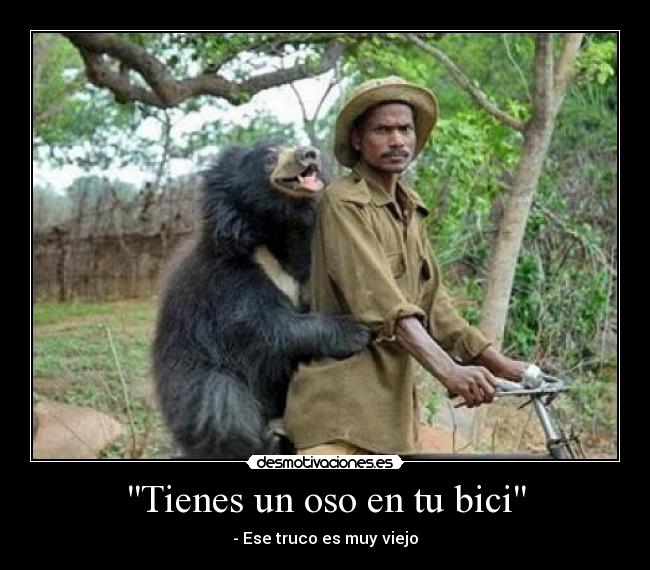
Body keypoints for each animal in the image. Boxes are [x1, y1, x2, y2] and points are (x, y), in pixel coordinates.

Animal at [152, 141, 371, 459]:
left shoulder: (309, 264)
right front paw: (353, 331)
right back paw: (263, 442)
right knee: (220, 403)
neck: (280, 230)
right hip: (189, 378)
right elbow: (263, 324)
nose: (309, 153)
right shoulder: (228, 275)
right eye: (269, 158)